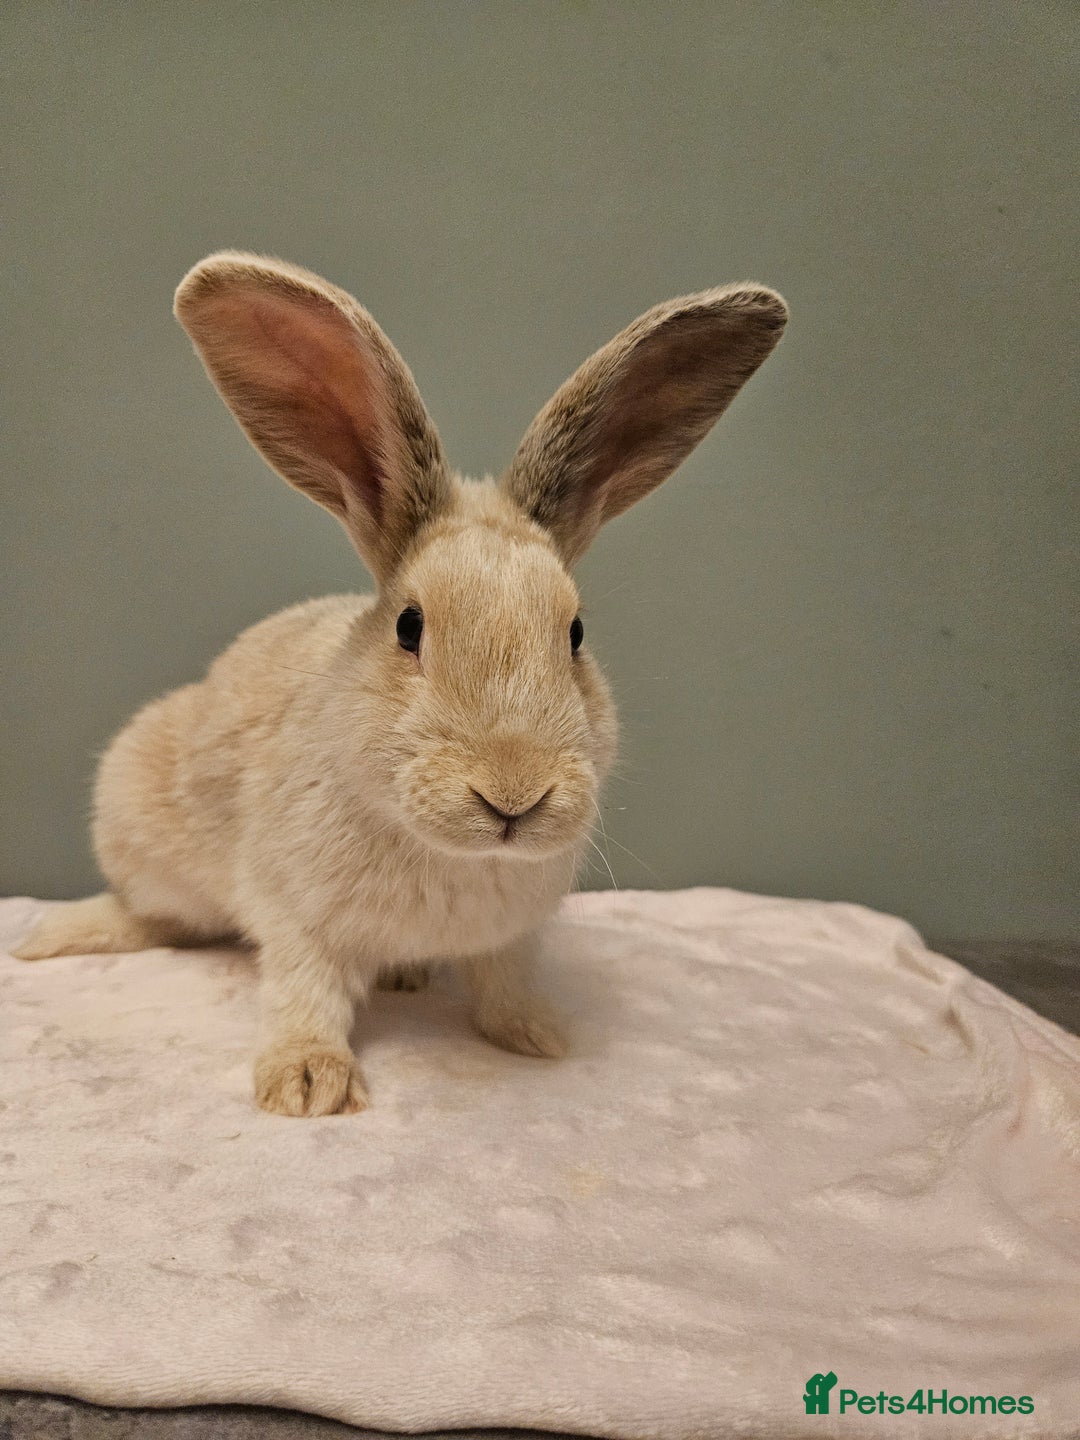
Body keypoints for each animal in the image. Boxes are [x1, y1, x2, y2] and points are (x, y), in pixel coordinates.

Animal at [13, 252, 787, 1116]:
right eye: (409, 628)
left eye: (576, 635)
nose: (514, 797)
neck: (452, 854)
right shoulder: (298, 921)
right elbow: (304, 995)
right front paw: (307, 1085)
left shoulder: (514, 940)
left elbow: (506, 986)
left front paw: (539, 1037)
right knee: (158, 916)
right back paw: (52, 939)